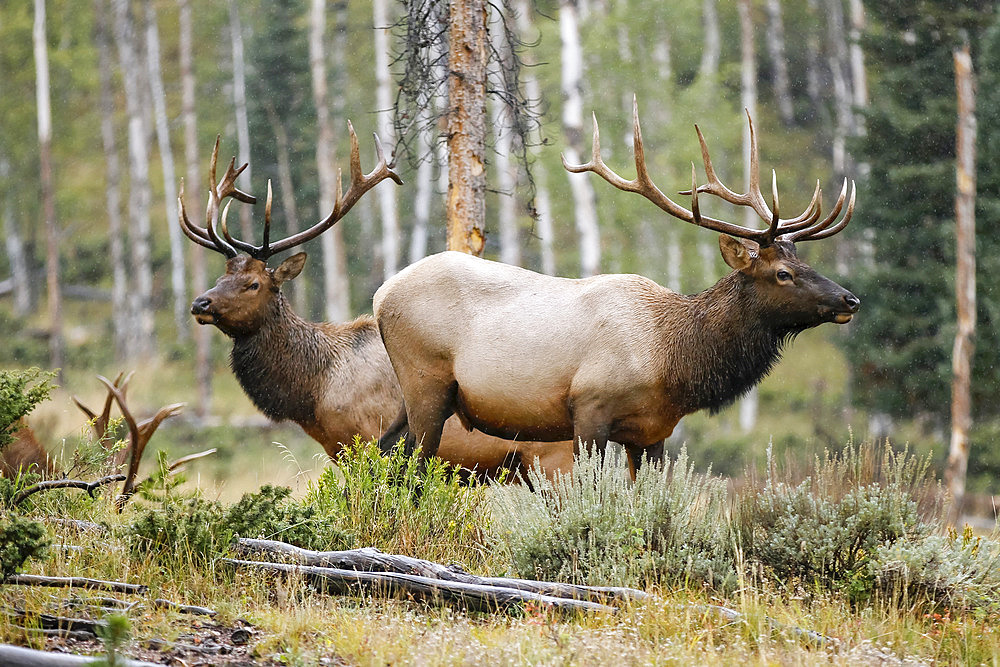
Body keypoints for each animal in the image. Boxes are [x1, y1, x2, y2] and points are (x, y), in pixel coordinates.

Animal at [176, 125, 576, 480]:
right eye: (220, 278)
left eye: (253, 283)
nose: (200, 304)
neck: (314, 393)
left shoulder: (364, 439)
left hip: (554, 457)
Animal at [376, 103, 860, 470]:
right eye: (782, 273)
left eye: (804, 261)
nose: (850, 299)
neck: (673, 362)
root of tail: (381, 294)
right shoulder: (589, 408)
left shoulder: (652, 432)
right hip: (426, 380)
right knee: (413, 464)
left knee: (383, 450)